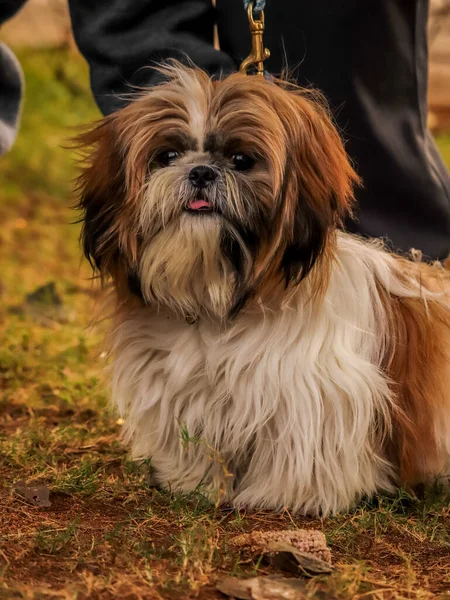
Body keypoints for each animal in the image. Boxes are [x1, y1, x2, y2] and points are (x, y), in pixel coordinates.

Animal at [76, 62, 450, 516]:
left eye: (242, 160)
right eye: (166, 156)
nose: (200, 172)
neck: (221, 300)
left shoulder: (315, 392)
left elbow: (302, 448)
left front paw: (289, 496)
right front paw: (192, 482)